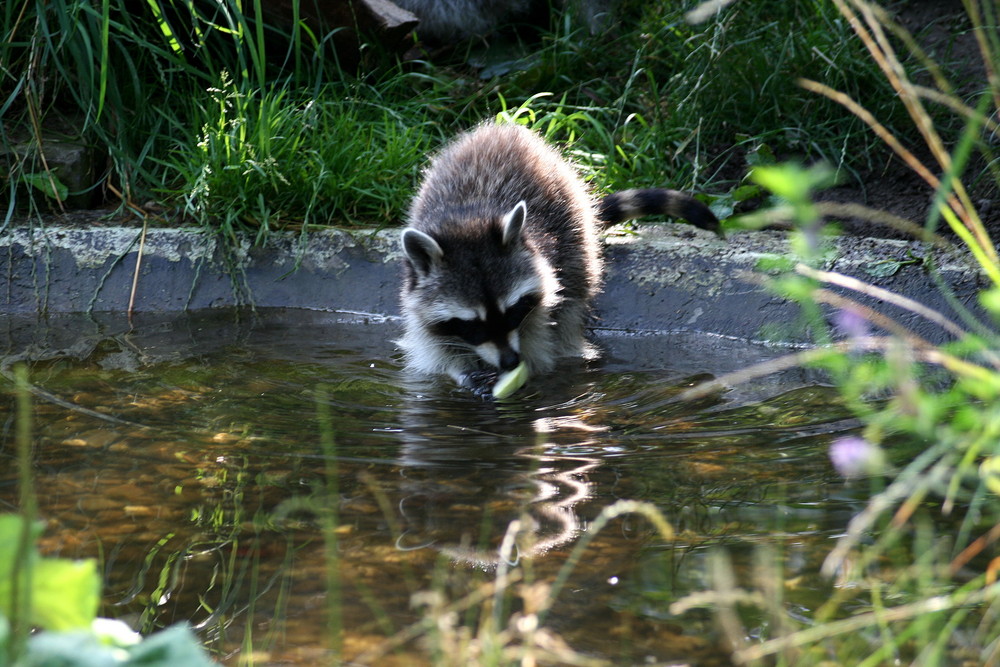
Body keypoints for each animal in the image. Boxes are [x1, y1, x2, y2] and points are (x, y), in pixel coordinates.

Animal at [398, 124, 720, 396]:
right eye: (472, 324)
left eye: (512, 312)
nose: (510, 362)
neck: (467, 220)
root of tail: (503, 129)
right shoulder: (419, 298)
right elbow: (435, 347)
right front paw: (461, 371)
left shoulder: (543, 283)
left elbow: (544, 331)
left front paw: (532, 368)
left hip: (575, 230)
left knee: (571, 304)